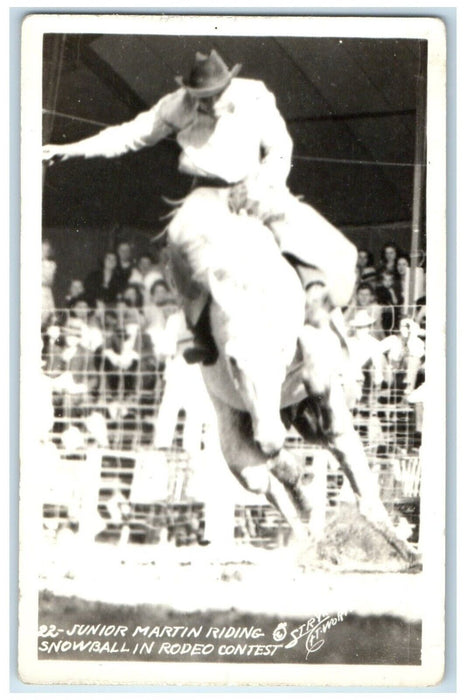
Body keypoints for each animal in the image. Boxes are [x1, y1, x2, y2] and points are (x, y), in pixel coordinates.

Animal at [166, 187, 416, 564]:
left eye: (281, 352)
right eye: (233, 361)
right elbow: (279, 465)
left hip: (315, 421)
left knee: (342, 460)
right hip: (247, 447)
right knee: (267, 479)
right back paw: (311, 527)